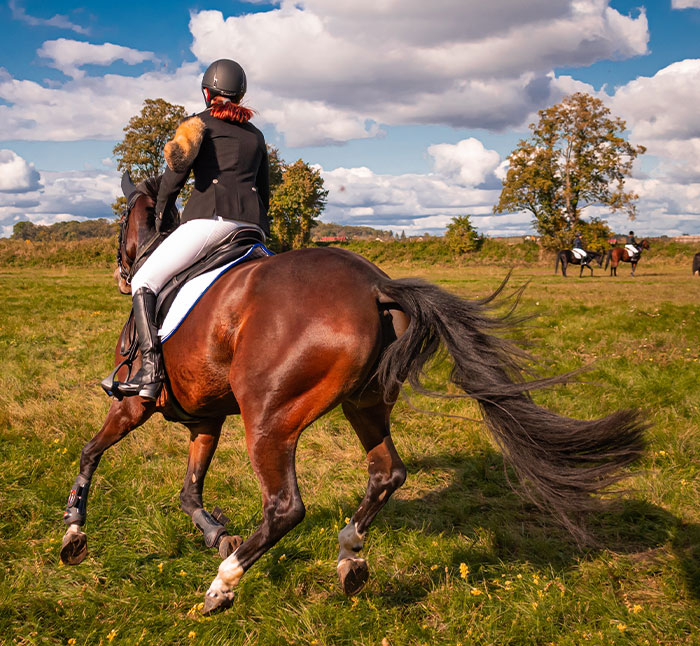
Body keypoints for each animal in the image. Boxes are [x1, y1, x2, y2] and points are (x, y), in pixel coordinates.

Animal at [61, 178, 644, 616]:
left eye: (121, 221)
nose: (121, 273)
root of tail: (375, 286)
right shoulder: (204, 418)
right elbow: (189, 491)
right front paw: (215, 533)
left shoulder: (135, 403)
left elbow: (91, 452)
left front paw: (73, 531)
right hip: (364, 404)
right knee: (387, 473)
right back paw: (350, 559)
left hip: (269, 419)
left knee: (286, 507)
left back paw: (222, 586)